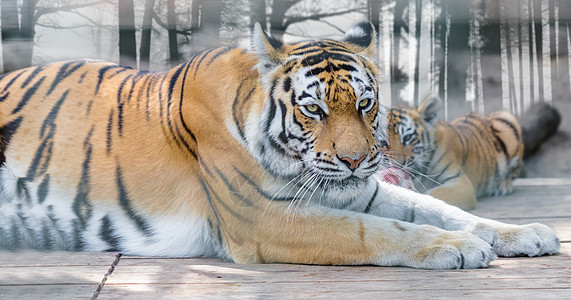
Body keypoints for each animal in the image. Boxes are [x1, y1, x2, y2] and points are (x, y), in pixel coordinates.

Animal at [386, 95, 524, 210]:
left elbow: (435, 195)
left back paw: (502, 186)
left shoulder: (461, 182)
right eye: (383, 141)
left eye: (408, 138)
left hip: (507, 119)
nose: (396, 165)